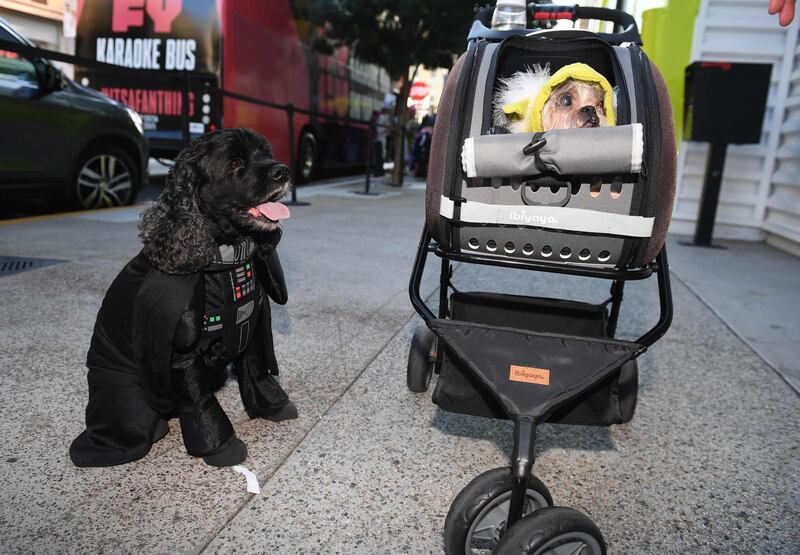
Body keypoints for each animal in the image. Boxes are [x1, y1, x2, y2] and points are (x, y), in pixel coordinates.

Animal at [71, 128, 296, 466]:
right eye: (235, 163)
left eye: (265, 154)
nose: (283, 170)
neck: (227, 257)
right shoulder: (182, 356)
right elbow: (199, 400)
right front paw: (220, 446)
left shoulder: (253, 327)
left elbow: (256, 369)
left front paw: (272, 405)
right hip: (128, 405)